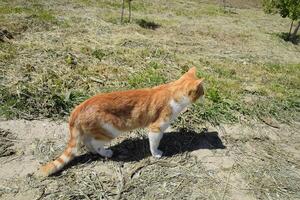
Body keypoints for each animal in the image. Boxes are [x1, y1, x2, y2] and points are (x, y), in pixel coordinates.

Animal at [38, 67, 204, 177]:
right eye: (202, 91)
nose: (205, 95)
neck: (172, 91)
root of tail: (77, 109)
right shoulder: (155, 128)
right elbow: (154, 143)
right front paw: (156, 153)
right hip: (110, 129)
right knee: (95, 143)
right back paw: (106, 152)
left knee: (87, 142)